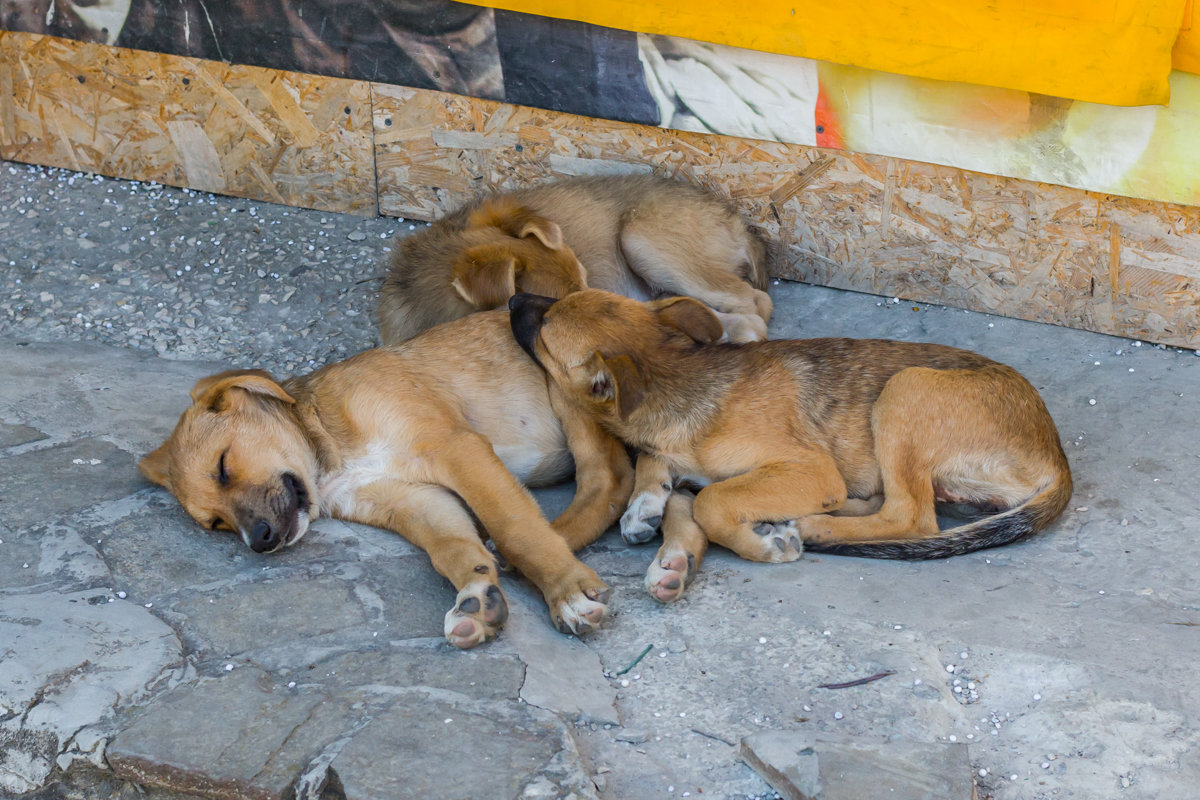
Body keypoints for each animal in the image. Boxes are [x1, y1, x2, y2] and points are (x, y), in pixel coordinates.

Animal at [137, 309, 633, 647]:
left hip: (568, 382)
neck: (330, 452)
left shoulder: (456, 448)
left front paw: (565, 590)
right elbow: (452, 550)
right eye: (216, 524)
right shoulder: (413, 500)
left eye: (223, 465)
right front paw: (477, 596)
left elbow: (516, 527)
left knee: (609, 478)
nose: (259, 541)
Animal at [511, 291, 1075, 604]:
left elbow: (713, 500)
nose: (513, 300)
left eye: (544, 329)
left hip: (905, 390)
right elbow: (667, 475)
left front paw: (759, 544)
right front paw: (646, 507)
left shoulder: (810, 468)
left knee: (911, 517)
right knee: (892, 504)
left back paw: (811, 526)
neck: (683, 381)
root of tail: (1057, 456)